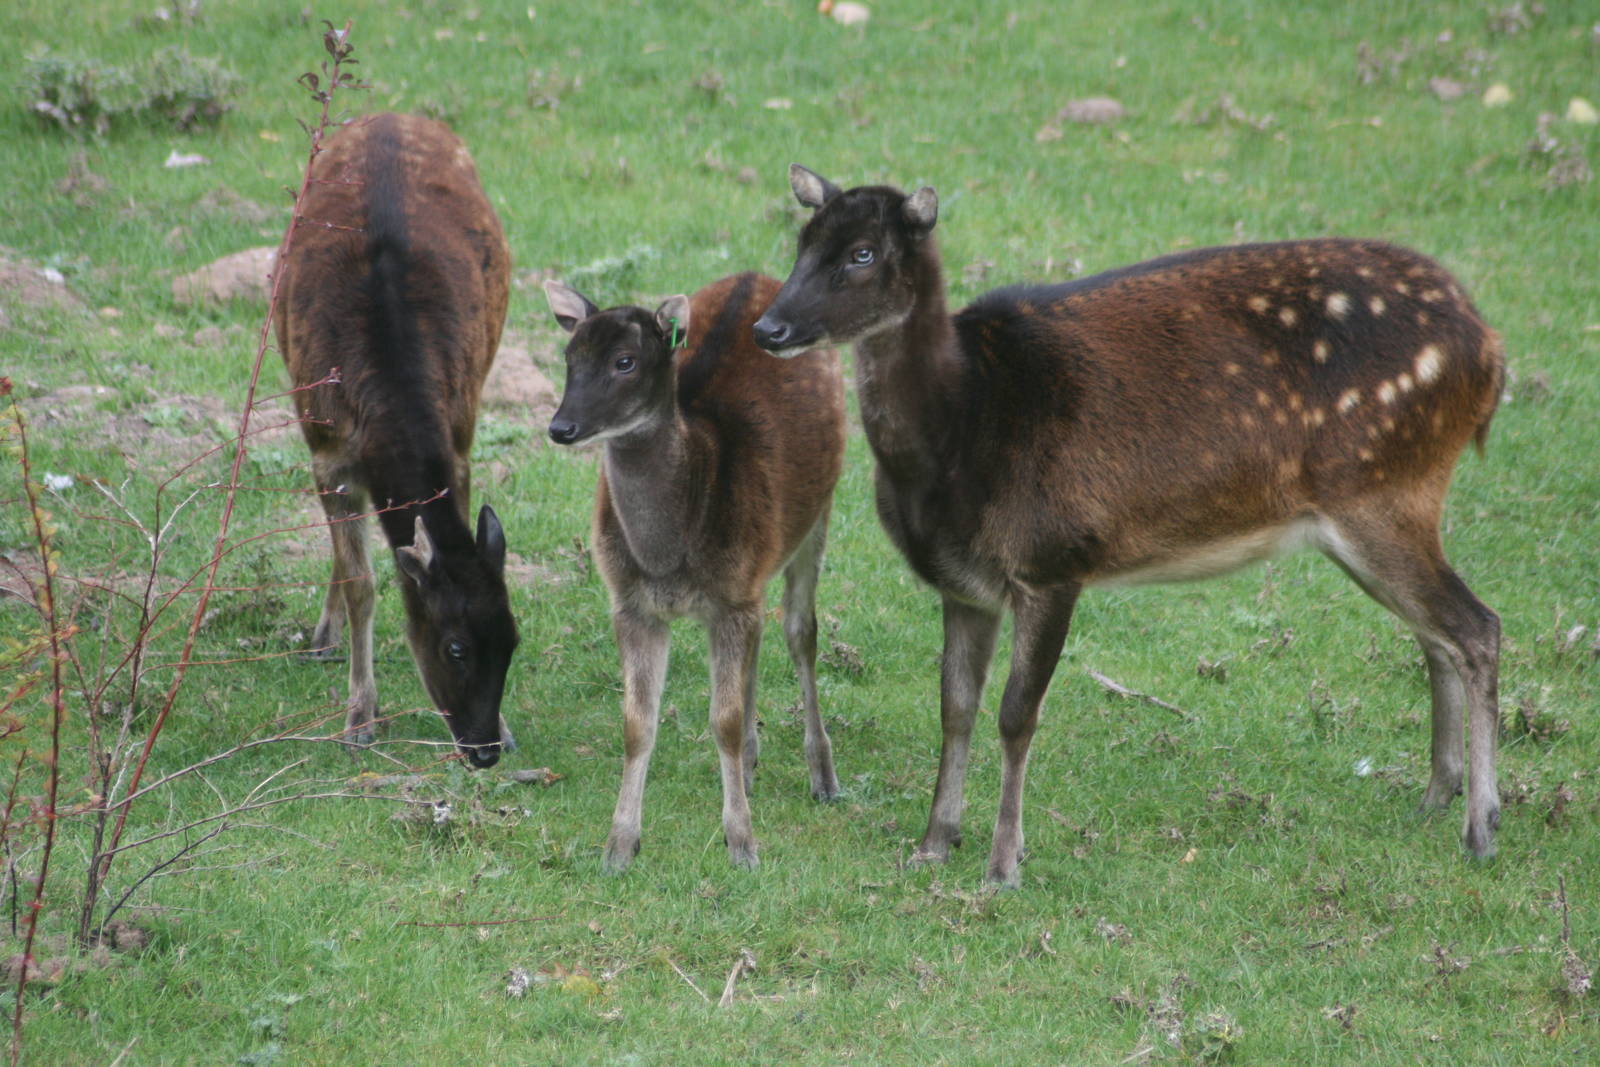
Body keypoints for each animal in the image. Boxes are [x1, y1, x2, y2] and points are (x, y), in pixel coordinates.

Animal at [274, 112, 519, 768]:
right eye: (455, 647)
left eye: (513, 639)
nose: (485, 750)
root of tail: (390, 116)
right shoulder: (326, 450)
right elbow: (362, 582)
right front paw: (359, 718)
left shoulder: (459, 438)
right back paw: (323, 639)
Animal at [543, 272, 846, 872]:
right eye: (569, 356)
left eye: (626, 361)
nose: (561, 427)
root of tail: (758, 277)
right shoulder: (632, 602)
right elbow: (638, 723)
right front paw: (619, 846)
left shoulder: (732, 597)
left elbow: (721, 721)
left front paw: (743, 845)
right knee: (760, 644)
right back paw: (751, 766)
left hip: (816, 516)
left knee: (800, 633)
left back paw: (823, 776)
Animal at [753, 164, 1504, 887]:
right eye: (802, 241)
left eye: (861, 253)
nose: (768, 329)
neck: (963, 426)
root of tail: (1490, 349)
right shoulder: (965, 584)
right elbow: (955, 705)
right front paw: (933, 843)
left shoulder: (1053, 559)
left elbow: (1016, 714)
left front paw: (1003, 865)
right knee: (1435, 634)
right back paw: (1434, 797)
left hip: (1384, 490)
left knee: (1477, 627)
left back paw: (1481, 829)